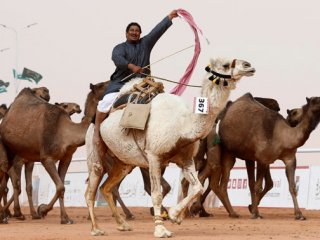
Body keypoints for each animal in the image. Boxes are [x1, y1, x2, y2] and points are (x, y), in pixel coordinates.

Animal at [0, 83, 102, 225]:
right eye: (104, 85)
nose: (77, 107)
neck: (66, 133)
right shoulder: (45, 158)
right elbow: (58, 186)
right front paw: (39, 210)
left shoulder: (65, 158)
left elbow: (60, 187)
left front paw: (64, 218)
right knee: (8, 182)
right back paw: (7, 214)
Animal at [84, 56, 255, 238]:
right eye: (225, 64)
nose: (249, 66)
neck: (182, 126)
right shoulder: (153, 157)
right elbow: (157, 193)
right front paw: (160, 229)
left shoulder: (186, 159)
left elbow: (198, 187)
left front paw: (175, 216)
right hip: (95, 154)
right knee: (91, 188)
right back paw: (96, 229)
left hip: (124, 162)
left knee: (106, 188)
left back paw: (123, 224)